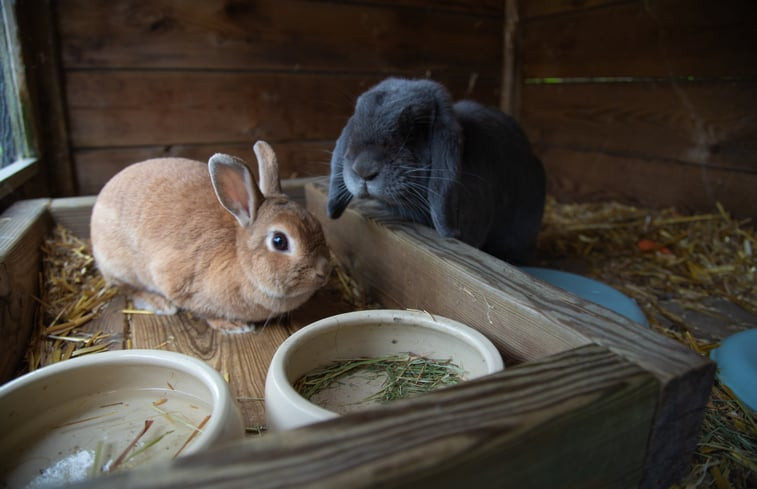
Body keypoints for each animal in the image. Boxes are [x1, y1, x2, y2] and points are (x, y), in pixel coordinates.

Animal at [89, 141, 330, 332]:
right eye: (279, 241)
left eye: (318, 223)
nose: (323, 271)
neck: (240, 258)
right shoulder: (182, 287)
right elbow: (206, 314)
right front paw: (233, 326)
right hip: (120, 267)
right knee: (126, 288)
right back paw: (159, 303)